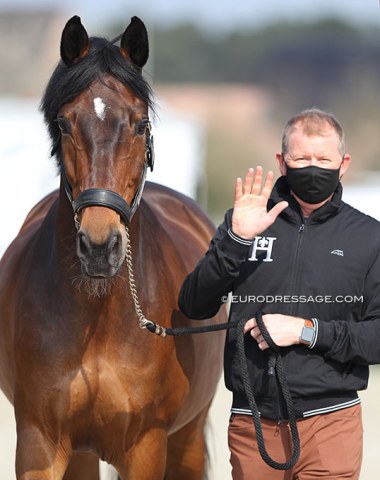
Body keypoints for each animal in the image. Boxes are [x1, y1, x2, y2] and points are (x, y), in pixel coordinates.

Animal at [0, 15, 226, 480]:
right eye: (64, 123)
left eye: (140, 123)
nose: (100, 246)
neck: (98, 316)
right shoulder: (39, 442)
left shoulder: (145, 447)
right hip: (83, 454)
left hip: (188, 440)